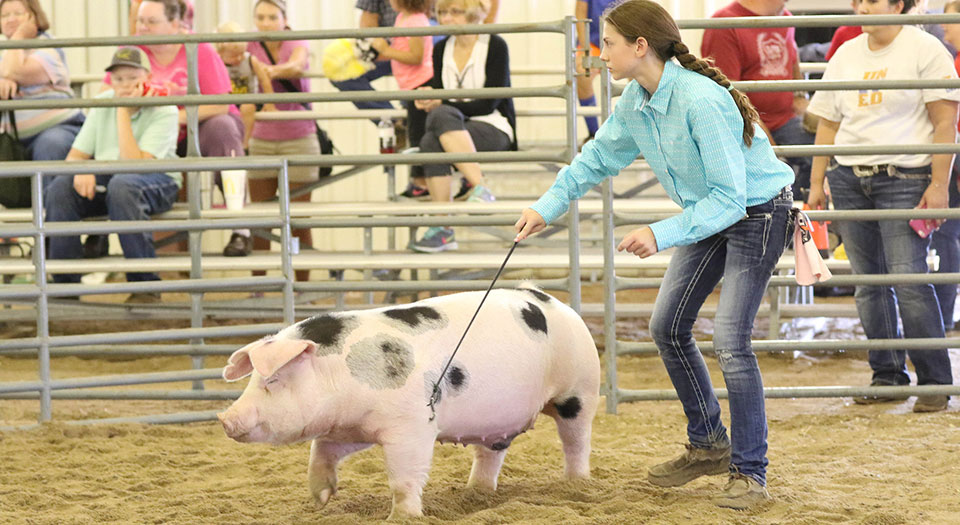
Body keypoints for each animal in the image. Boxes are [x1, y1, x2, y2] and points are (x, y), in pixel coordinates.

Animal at [217, 283, 600, 520]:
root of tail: (549, 299)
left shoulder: (412, 426)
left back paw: (576, 484)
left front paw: (403, 516)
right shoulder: (351, 427)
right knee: (491, 451)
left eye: (273, 379)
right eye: (252, 379)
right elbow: (321, 454)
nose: (225, 418)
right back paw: (475, 493)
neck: (339, 374)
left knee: (577, 441)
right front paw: (321, 499)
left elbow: (403, 476)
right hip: (500, 417)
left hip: (579, 389)